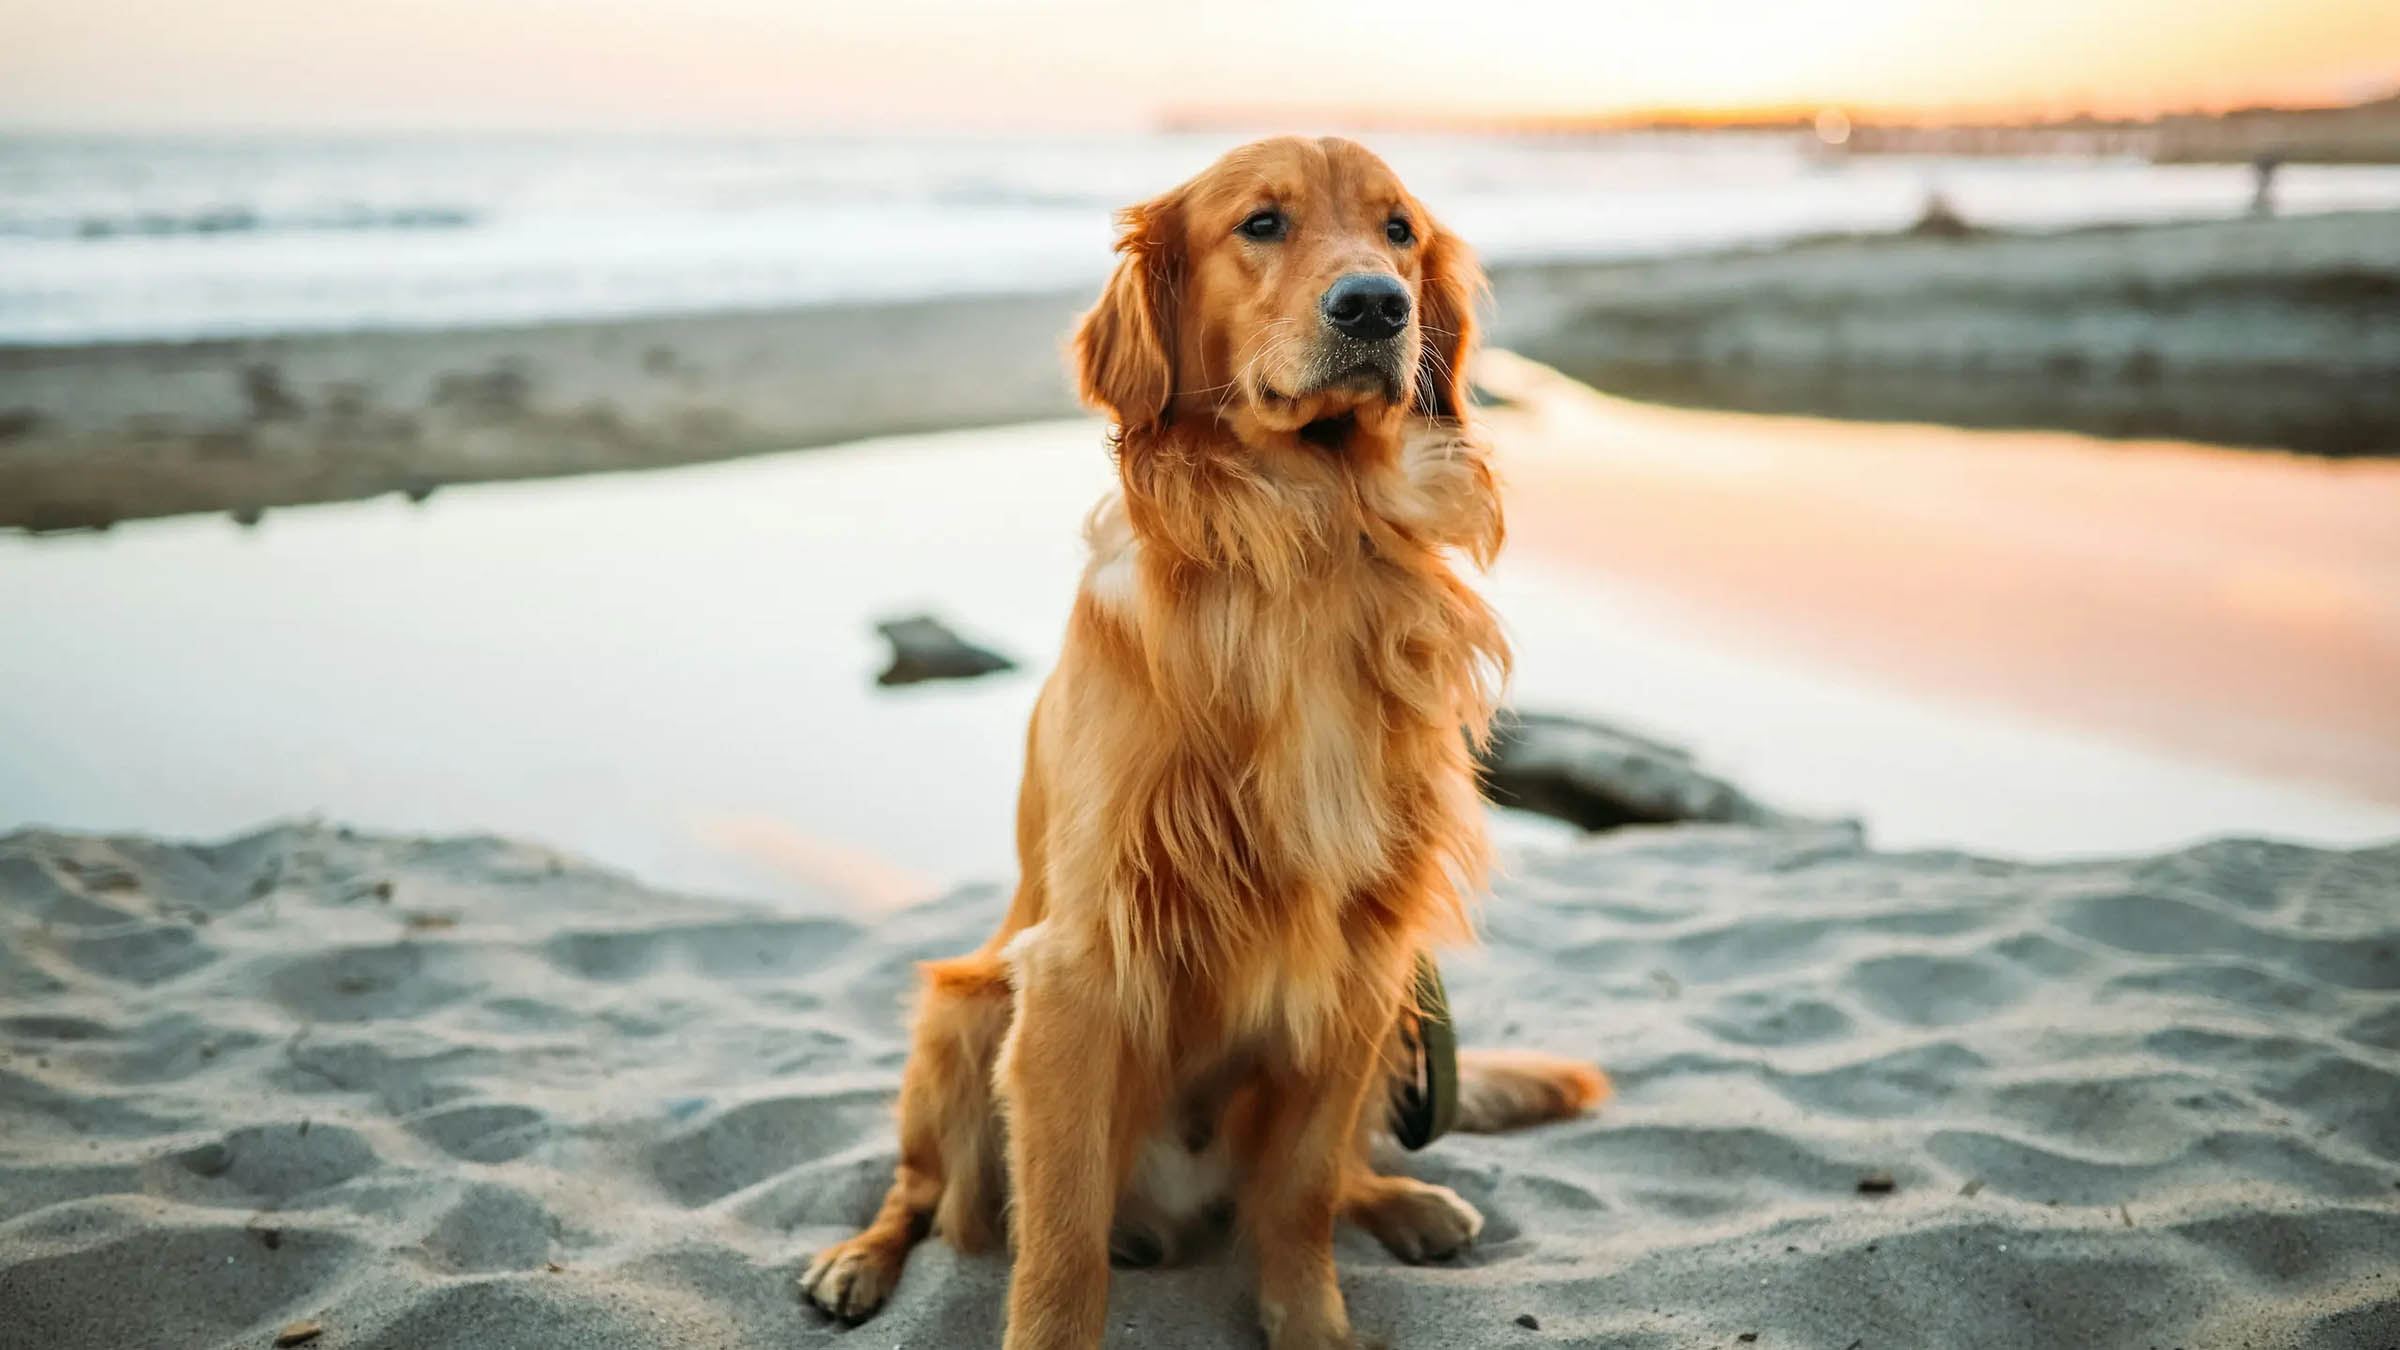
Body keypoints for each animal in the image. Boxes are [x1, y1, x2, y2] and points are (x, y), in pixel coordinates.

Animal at [806, 136, 1612, 1345]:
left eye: (1400, 232)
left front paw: (1315, 1323)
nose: (1376, 305)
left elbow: (1301, 1196)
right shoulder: (1080, 968)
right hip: (962, 1014)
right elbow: (1059, 1245)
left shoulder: (1363, 957)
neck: (1307, 537)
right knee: (920, 1193)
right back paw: (858, 1261)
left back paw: (1408, 1200)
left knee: (1331, 1175)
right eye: (1261, 224)